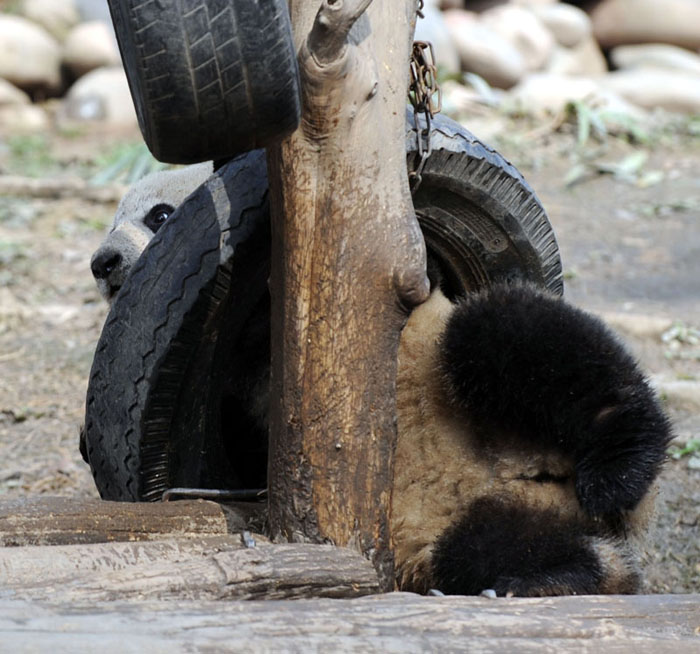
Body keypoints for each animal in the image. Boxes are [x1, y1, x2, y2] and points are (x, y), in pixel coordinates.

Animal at [90, 167, 668, 596]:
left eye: (160, 215)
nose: (104, 262)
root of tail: (540, 479)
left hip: (460, 366)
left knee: (514, 337)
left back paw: (620, 466)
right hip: (467, 524)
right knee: (489, 546)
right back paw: (554, 576)